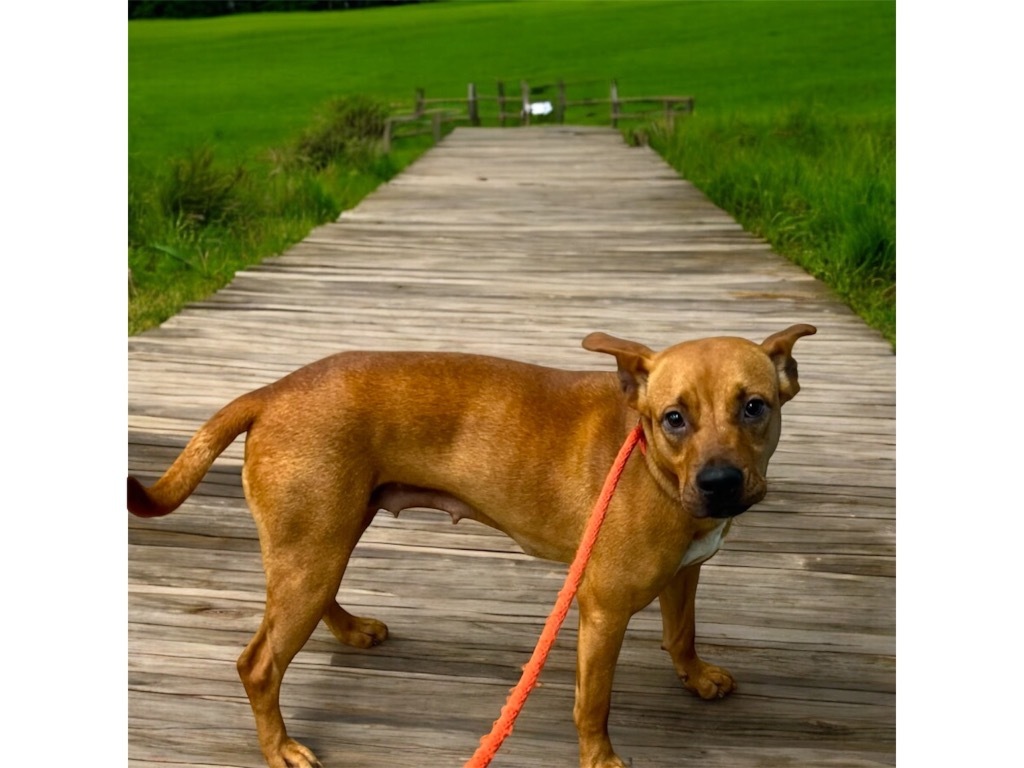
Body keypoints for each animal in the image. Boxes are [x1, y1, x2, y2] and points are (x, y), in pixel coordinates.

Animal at [128, 325, 815, 768]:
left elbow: (682, 632)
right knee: (259, 665)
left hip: (326, 541)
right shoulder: (603, 611)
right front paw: (600, 759)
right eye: (675, 417)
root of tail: (270, 391)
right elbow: (593, 704)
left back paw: (351, 631)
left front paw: (695, 677)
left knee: (310, 605)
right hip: (314, 550)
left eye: (754, 407)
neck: (649, 460)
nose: (721, 483)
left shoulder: (684, 574)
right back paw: (279, 750)